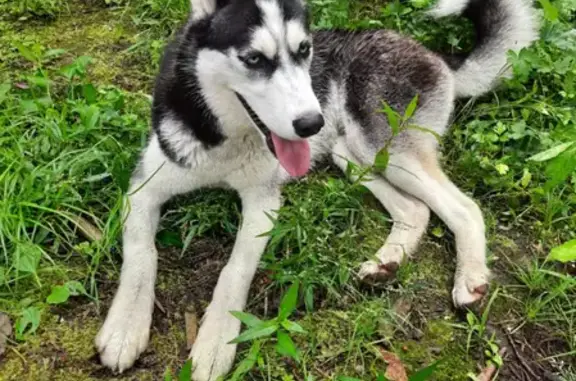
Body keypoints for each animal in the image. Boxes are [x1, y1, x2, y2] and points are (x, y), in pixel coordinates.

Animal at [95, 0, 540, 378]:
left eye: (304, 50)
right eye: (254, 59)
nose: (311, 123)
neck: (227, 137)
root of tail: (437, 56)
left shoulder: (263, 204)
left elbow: (234, 269)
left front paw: (217, 339)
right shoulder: (142, 190)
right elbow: (142, 254)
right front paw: (125, 327)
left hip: (382, 148)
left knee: (464, 208)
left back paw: (470, 279)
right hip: (351, 155)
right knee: (416, 210)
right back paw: (387, 262)